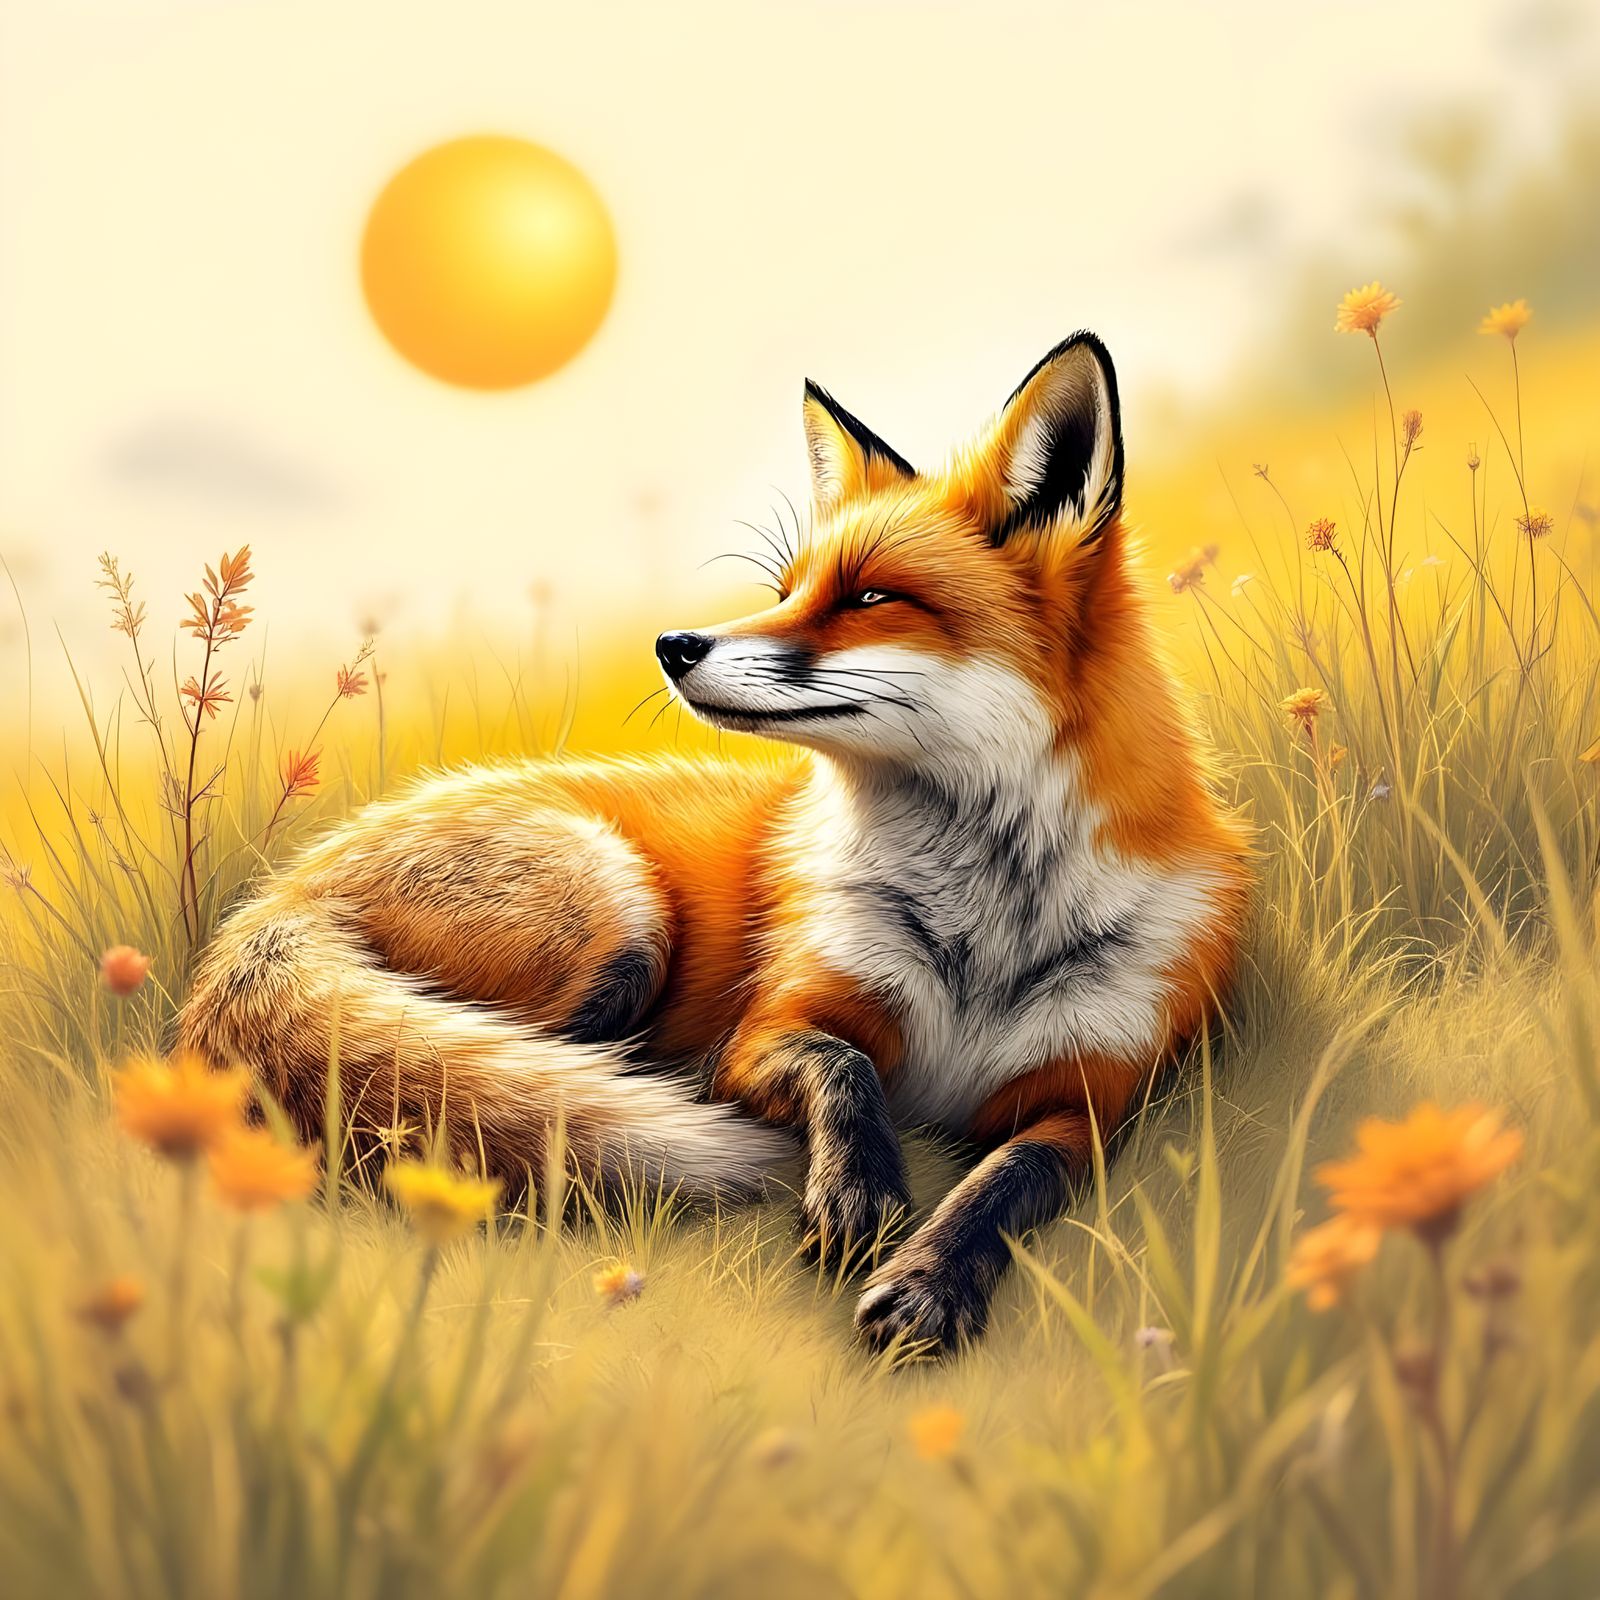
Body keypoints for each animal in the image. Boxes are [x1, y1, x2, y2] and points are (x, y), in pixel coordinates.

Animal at [180, 332, 1250, 1351]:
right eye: (786, 589)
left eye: (870, 598)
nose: (673, 644)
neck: (983, 934)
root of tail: (285, 888)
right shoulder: (767, 1030)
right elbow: (844, 1068)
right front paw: (856, 1190)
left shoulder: (1092, 1099)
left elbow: (1005, 1179)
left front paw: (930, 1282)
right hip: (617, 921)